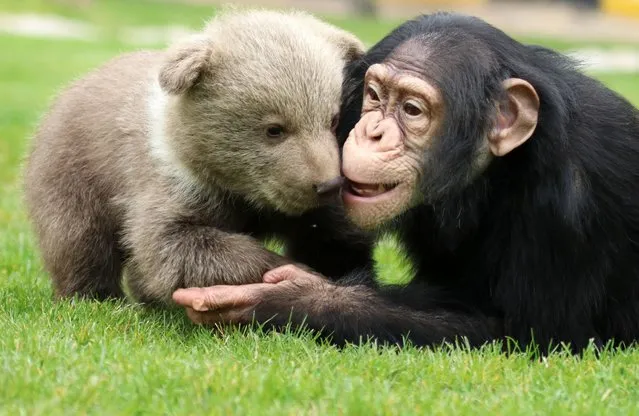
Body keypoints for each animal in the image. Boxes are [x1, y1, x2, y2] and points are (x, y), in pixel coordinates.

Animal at [171, 12, 639, 354]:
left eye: (412, 109)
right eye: (376, 96)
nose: (372, 132)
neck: (498, 170)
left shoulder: (569, 202)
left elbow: (529, 336)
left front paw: (291, 300)